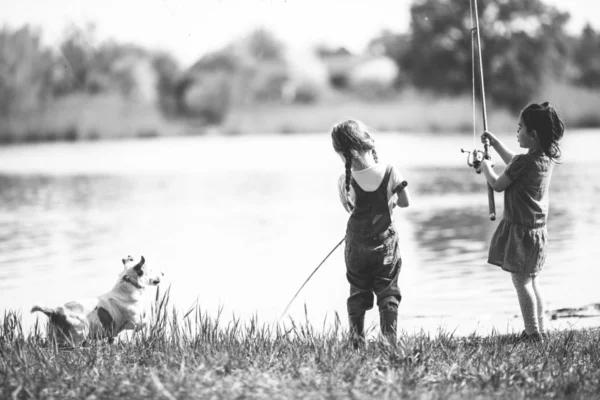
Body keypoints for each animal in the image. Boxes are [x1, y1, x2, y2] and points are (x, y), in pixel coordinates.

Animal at [31, 256, 163, 346]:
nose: (163, 273)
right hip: (78, 334)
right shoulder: (135, 322)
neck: (128, 286)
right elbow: (145, 322)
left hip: (54, 336)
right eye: (151, 270)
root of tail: (55, 311)